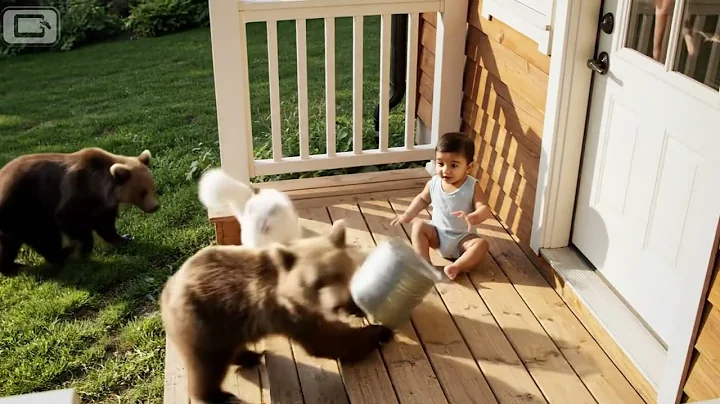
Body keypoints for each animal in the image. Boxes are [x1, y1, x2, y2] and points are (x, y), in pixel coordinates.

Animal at [0, 147, 160, 275]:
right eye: (142, 192)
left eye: (152, 186)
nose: (155, 206)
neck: (98, 189)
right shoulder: (76, 191)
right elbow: (68, 219)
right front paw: (82, 248)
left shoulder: (101, 206)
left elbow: (105, 224)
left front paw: (124, 238)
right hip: (24, 207)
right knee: (43, 235)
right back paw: (62, 254)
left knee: (9, 243)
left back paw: (12, 266)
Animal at [160, 219, 393, 404]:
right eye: (316, 283)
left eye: (341, 273)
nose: (338, 304)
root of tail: (167, 289)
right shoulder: (290, 312)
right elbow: (328, 340)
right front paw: (380, 332)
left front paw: (359, 309)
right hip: (205, 318)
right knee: (207, 364)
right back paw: (219, 395)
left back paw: (250, 356)